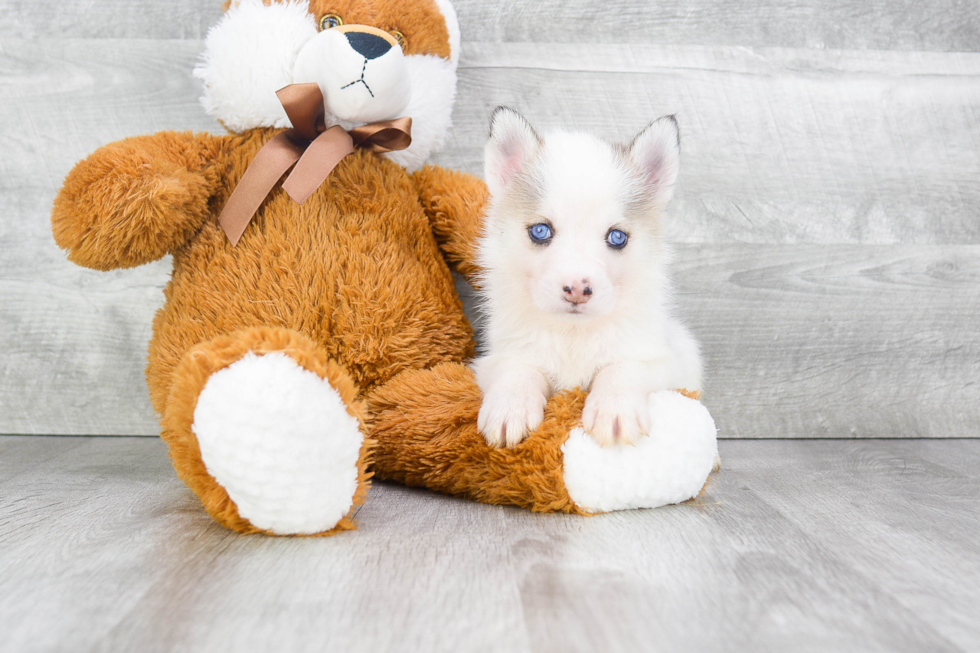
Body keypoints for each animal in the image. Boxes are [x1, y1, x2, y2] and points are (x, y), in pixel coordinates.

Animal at [474, 107, 704, 448]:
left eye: (617, 237)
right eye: (540, 231)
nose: (577, 290)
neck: (574, 334)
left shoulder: (661, 362)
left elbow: (621, 368)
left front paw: (616, 410)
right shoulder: (496, 357)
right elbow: (518, 368)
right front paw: (510, 407)